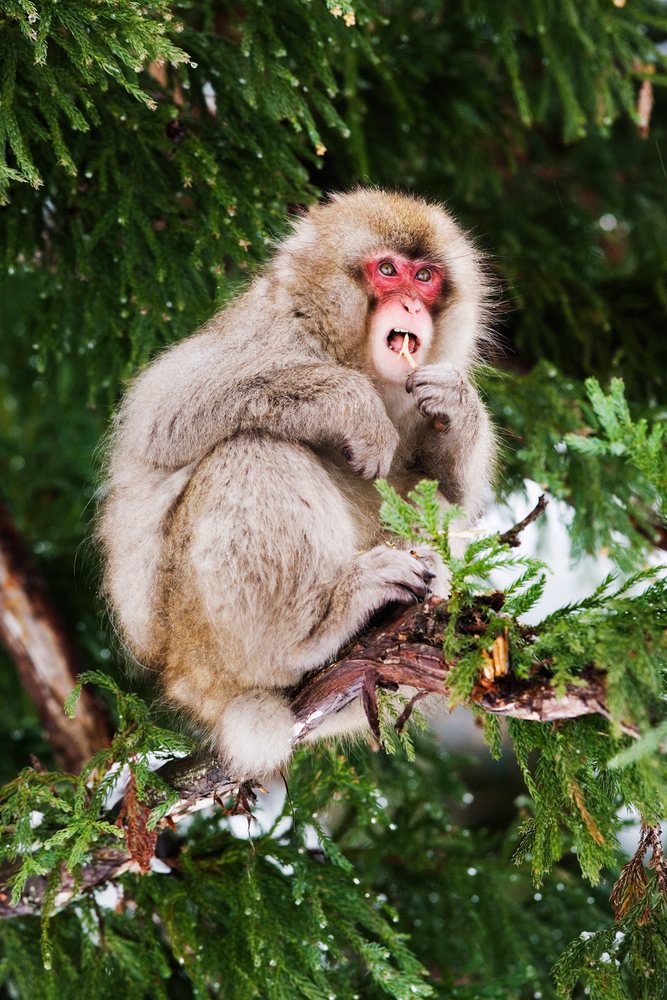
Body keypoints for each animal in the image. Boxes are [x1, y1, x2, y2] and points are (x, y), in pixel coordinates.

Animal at [98, 189, 495, 779]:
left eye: (424, 276)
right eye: (387, 270)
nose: (410, 307)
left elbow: (445, 507)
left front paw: (460, 407)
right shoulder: (275, 331)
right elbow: (163, 417)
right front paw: (351, 405)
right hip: (199, 636)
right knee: (253, 448)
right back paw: (314, 630)